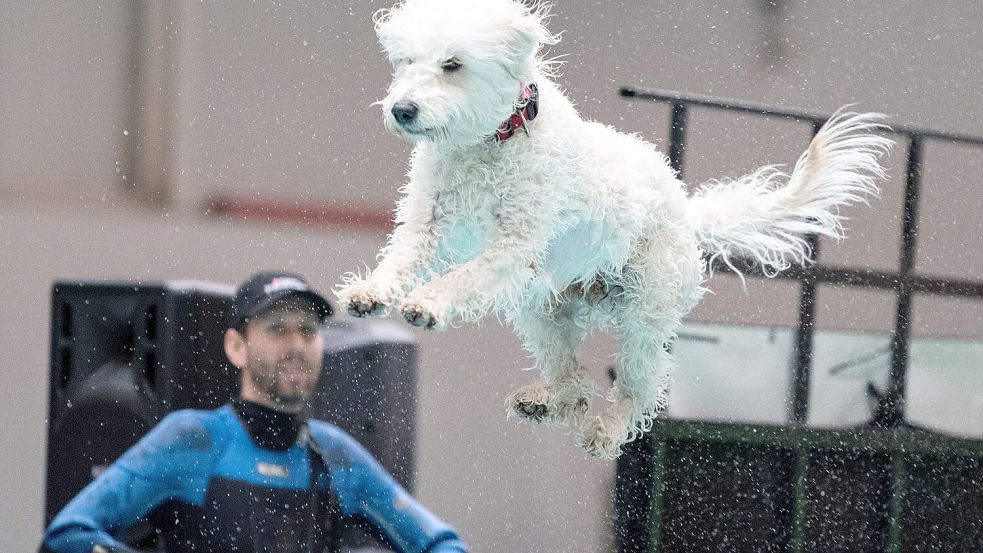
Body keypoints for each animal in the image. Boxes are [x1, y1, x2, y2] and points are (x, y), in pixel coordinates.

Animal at [334, 0, 896, 458]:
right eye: (407, 62)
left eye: (452, 64)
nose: (402, 110)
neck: (489, 141)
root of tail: (686, 212)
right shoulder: (427, 226)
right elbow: (400, 260)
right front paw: (370, 292)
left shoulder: (514, 248)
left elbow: (461, 277)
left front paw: (428, 304)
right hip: (542, 310)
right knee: (576, 384)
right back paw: (545, 402)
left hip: (646, 315)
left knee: (640, 387)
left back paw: (606, 431)